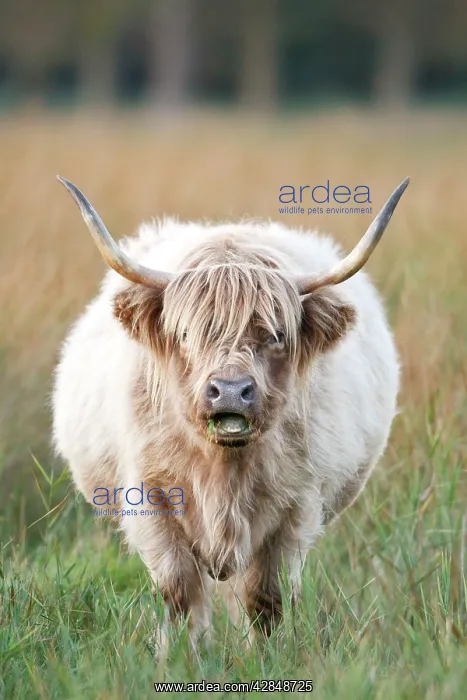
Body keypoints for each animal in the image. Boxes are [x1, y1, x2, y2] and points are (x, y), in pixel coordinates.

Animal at [52, 175, 408, 647]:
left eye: (277, 334)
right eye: (185, 333)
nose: (231, 393)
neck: (224, 470)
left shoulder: (297, 507)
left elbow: (265, 597)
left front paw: (264, 655)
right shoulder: (149, 497)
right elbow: (179, 590)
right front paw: (179, 655)